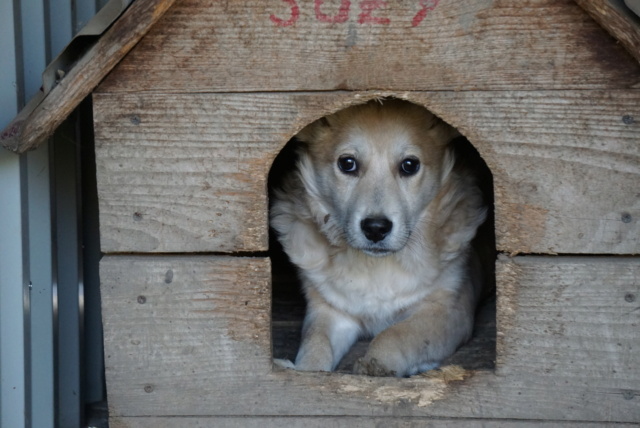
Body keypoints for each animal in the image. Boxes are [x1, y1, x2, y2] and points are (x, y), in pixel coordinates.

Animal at [268, 98, 484, 376]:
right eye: (347, 163)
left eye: (409, 165)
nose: (376, 228)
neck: (376, 267)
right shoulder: (331, 311)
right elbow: (316, 343)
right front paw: (304, 370)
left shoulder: (450, 310)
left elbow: (395, 334)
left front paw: (377, 364)